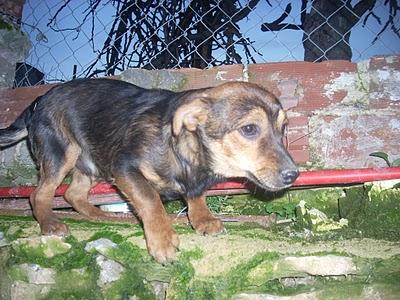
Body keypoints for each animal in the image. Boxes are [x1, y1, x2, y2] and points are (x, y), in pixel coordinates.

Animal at [0, 79, 298, 262]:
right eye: (249, 129)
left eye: (283, 128)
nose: (293, 175)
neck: (189, 155)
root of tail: (38, 100)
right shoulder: (125, 167)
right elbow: (150, 199)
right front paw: (162, 240)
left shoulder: (194, 183)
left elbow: (196, 196)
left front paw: (202, 219)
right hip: (62, 153)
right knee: (39, 194)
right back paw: (49, 223)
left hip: (90, 160)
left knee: (73, 194)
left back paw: (101, 215)